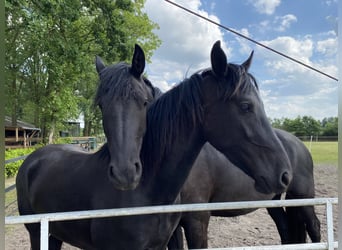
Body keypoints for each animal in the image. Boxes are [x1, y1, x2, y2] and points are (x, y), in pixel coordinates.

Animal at [16, 41, 292, 248]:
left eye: (145, 102)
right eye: (246, 106)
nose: (285, 174)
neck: (149, 194)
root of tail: (33, 159)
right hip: (37, 233)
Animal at [168, 128, 320, 249]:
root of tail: (298, 143)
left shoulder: (197, 220)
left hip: (303, 198)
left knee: (314, 226)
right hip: (274, 202)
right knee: (285, 227)